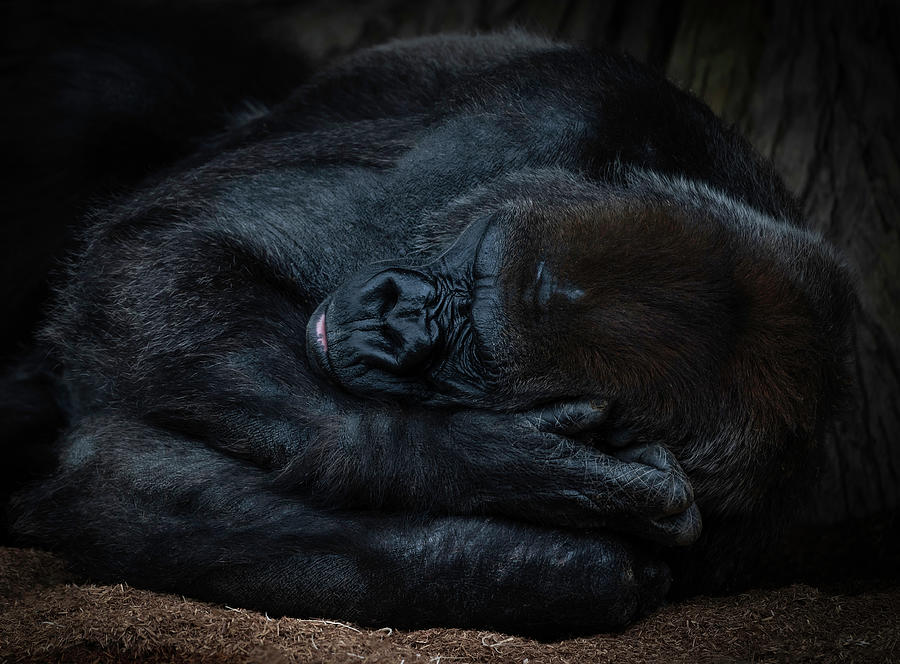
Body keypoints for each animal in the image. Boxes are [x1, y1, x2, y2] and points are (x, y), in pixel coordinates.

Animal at [5, 33, 852, 636]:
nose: (390, 317)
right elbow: (165, 253)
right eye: (470, 265)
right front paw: (486, 456)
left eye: (473, 351)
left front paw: (531, 559)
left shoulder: (759, 521)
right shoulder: (539, 119)